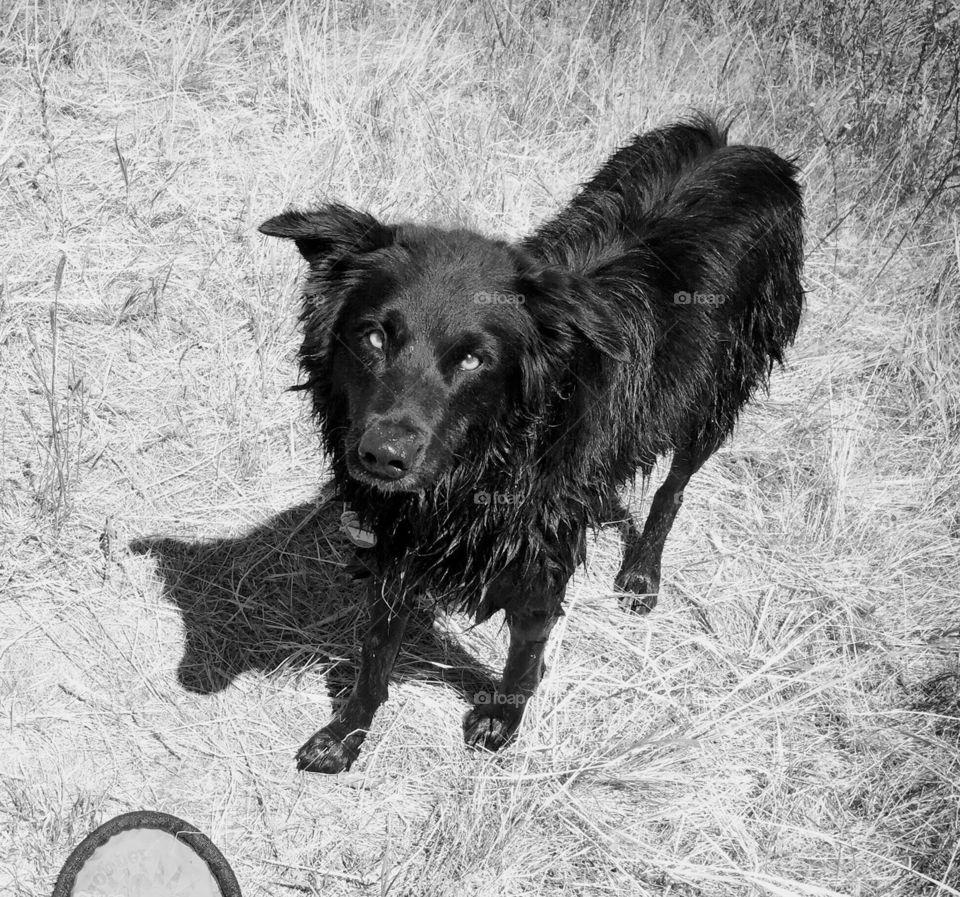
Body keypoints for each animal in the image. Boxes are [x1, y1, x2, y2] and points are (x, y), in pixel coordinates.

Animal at [260, 114, 804, 768]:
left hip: (716, 394)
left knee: (674, 485)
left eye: (474, 359)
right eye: (372, 337)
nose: (382, 458)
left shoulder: (543, 545)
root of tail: (746, 150)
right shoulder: (403, 535)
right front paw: (346, 733)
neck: (487, 459)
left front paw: (504, 718)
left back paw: (642, 575)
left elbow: (526, 650)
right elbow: (376, 649)